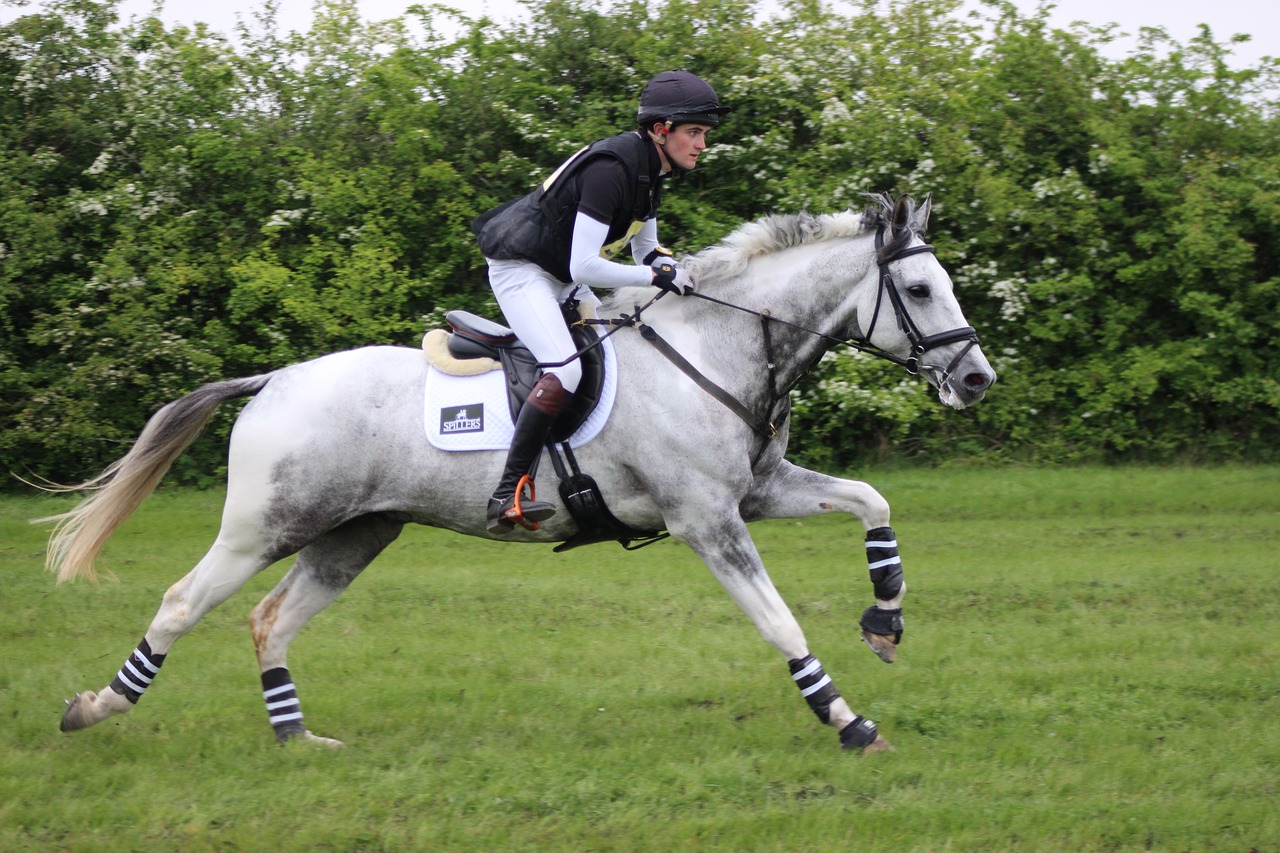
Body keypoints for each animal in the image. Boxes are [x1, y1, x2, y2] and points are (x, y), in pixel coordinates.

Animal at [40, 190, 993, 753]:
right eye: (919, 291)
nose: (977, 379)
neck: (718, 345)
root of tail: (275, 378)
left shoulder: (758, 493)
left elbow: (870, 500)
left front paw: (885, 619)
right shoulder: (708, 521)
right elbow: (779, 620)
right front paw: (847, 719)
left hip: (356, 534)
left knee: (270, 620)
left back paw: (297, 740)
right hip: (265, 526)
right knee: (182, 602)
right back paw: (93, 708)